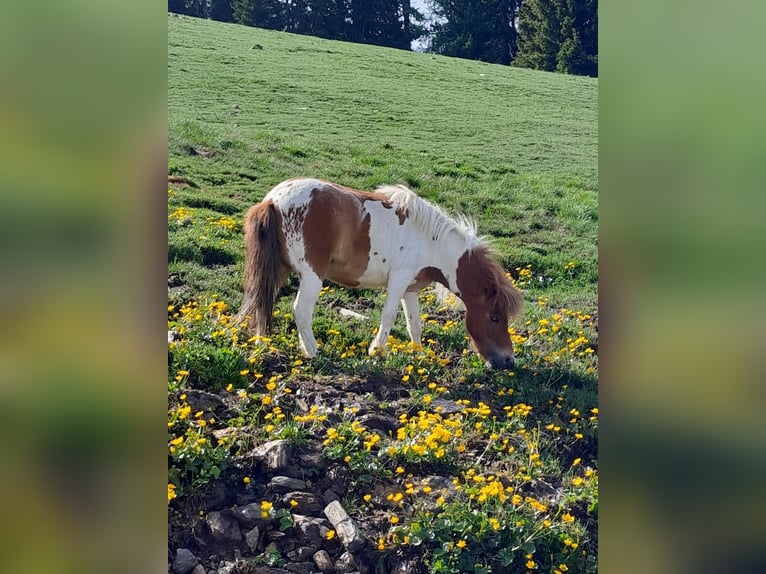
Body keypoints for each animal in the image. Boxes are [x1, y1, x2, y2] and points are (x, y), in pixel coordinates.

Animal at [235, 178, 523, 369]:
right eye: (494, 317)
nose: (508, 360)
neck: (431, 242)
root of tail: (272, 200)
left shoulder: (410, 289)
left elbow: (414, 324)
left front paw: (419, 354)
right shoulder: (398, 279)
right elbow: (388, 316)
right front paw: (377, 351)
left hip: (278, 270)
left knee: (261, 302)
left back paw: (265, 344)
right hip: (312, 277)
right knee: (300, 311)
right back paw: (312, 351)